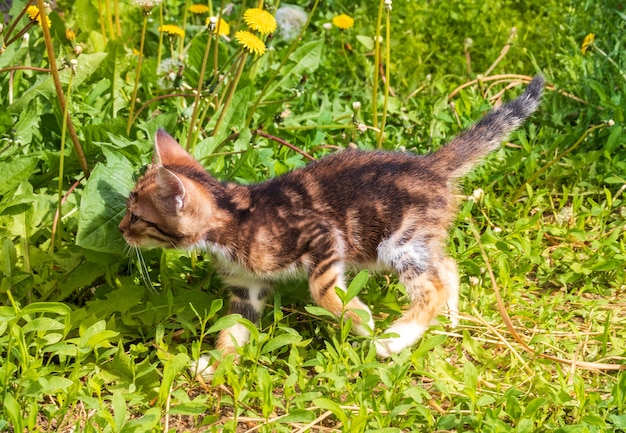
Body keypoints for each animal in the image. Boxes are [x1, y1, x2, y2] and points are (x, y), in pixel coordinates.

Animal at [119, 76, 544, 376]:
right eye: (128, 209)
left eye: (138, 216)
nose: (122, 229)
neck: (234, 217)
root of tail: (431, 165)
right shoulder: (247, 287)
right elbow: (235, 327)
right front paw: (215, 363)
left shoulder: (322, 235)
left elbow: (322, 290)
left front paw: (361, 320)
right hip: (417, 239)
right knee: (448, 266)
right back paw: (448, 321)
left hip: (396, 239)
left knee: (432, 287)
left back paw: (397, 338)